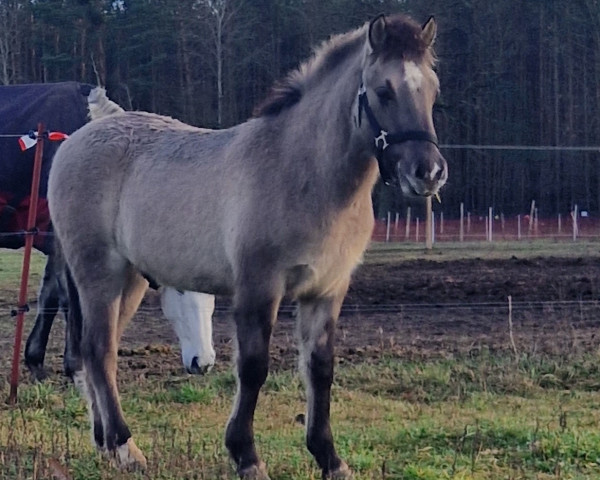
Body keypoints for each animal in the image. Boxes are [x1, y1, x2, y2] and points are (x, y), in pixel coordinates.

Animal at [49, 13, 448, 478]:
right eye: (384, 90)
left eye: (433, 90)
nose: (429, 172)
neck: (303, 172)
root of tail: (83, 134)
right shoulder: (260, 287)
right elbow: (254, 368)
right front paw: (247, 457)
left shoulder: (326, 291)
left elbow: (320, 369)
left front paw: (330, 459)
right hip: (99, 273)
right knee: (98, 349)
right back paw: (126, 447)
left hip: (129, 280)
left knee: (98, 353)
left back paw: (107, 445)